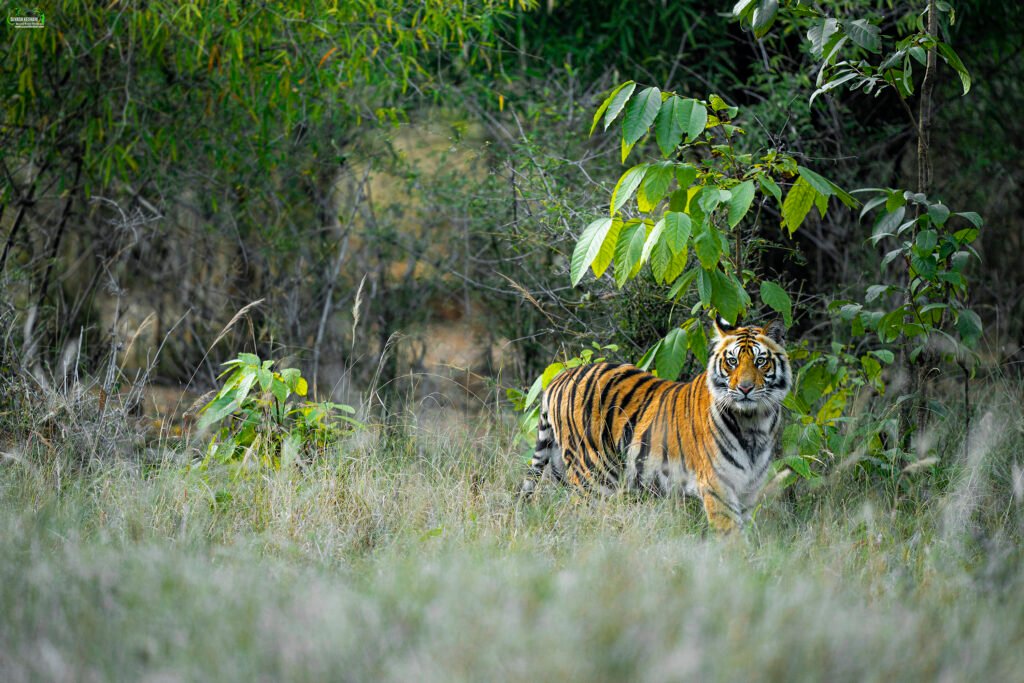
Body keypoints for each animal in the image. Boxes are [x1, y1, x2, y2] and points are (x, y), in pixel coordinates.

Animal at [520, 317, 790, 532]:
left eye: (760, 361)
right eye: (732, 362)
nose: (744, 388)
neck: (754, 422)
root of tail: (559, 377)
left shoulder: (749, 487)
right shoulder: (717, 485)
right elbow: (731, 534)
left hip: (563, 470)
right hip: (594, 476)